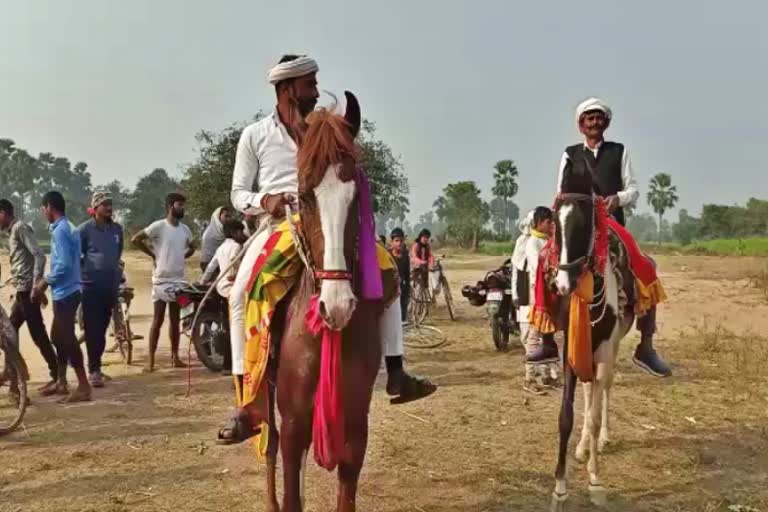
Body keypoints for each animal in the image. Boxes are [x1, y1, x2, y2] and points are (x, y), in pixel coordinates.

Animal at [260, 93, 388, 512]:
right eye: (303, 197)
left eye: (356, 197)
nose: (336, 306)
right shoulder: (294, 423)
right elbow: (291, 493)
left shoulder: (356, 426)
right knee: (268, 447)